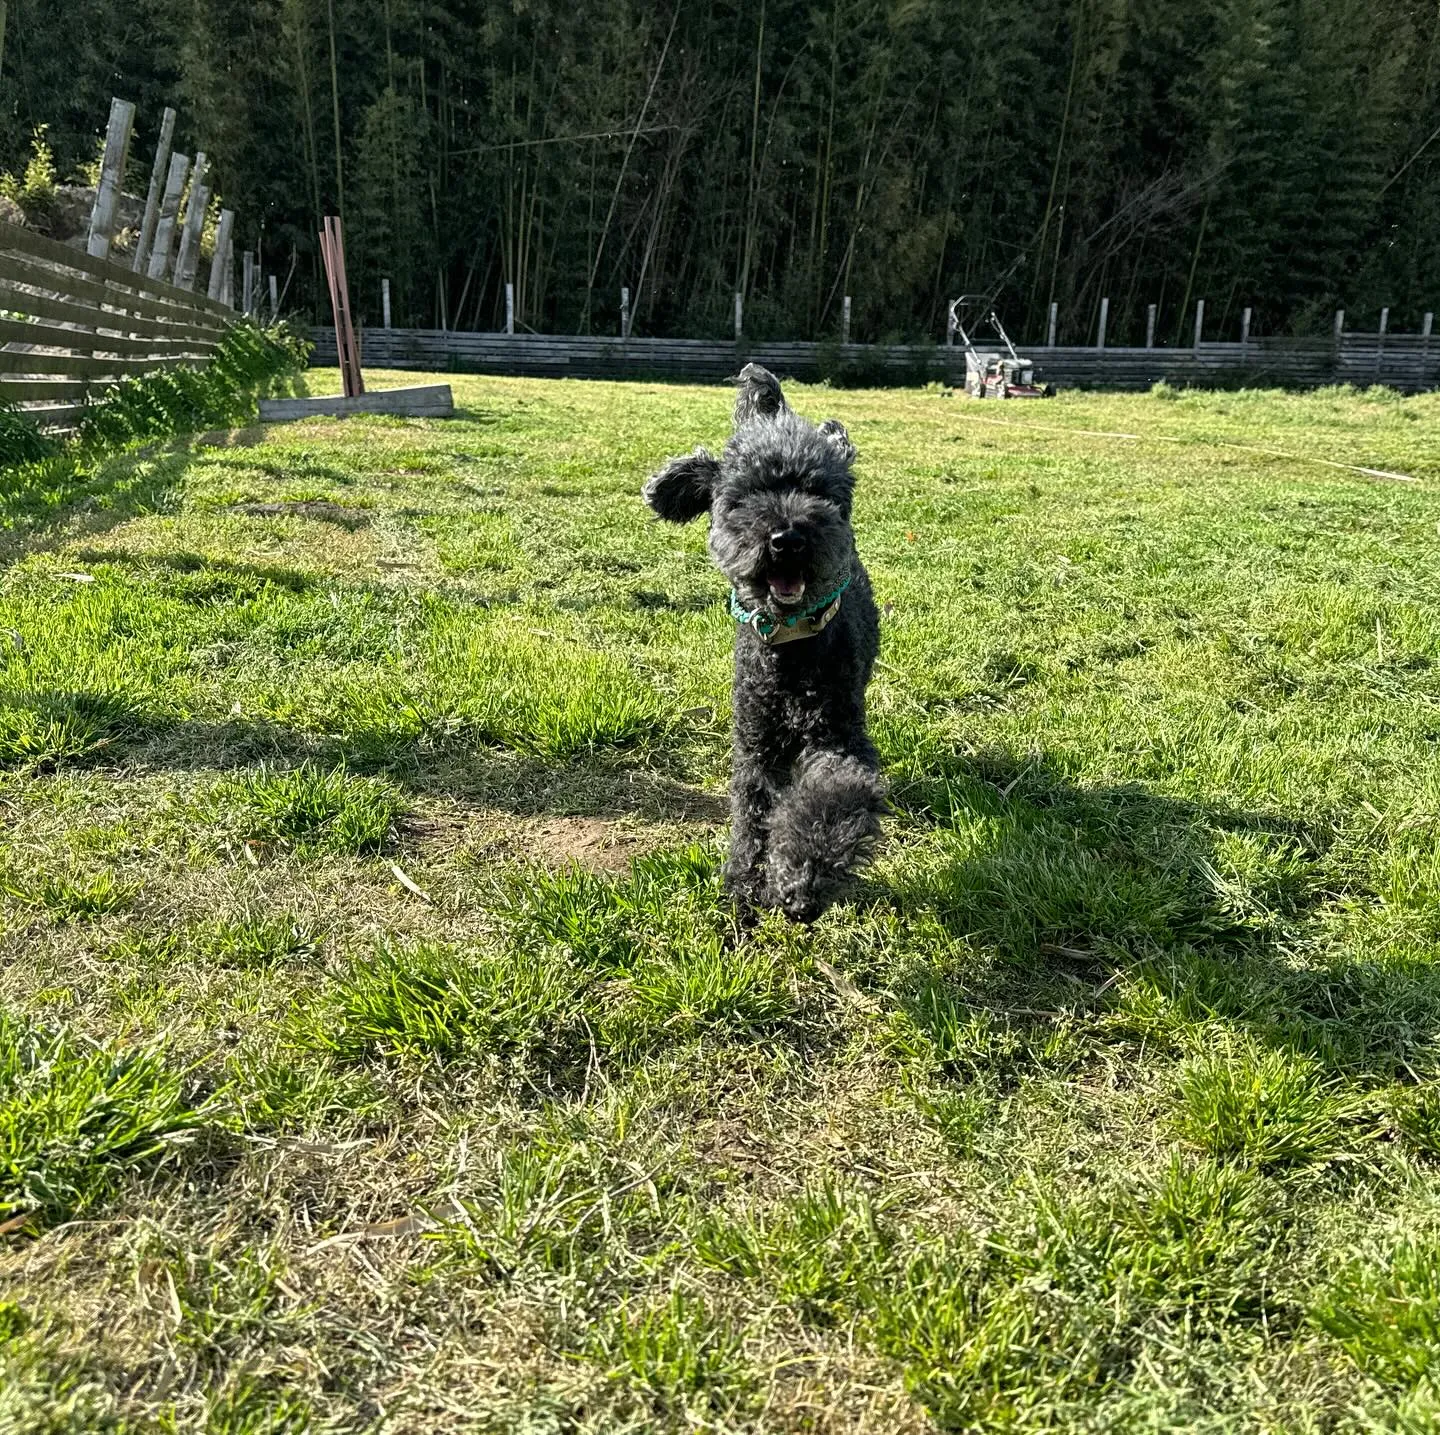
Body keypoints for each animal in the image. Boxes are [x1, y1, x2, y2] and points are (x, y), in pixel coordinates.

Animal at [645, 358, 887, 921]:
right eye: (742, 499)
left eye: (820, 492)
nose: (787, 538)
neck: (791, 645)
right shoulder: (756, 748)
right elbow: (750, 816)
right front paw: (743, 883)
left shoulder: (837, 737)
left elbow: (828, 801)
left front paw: (797, 880)